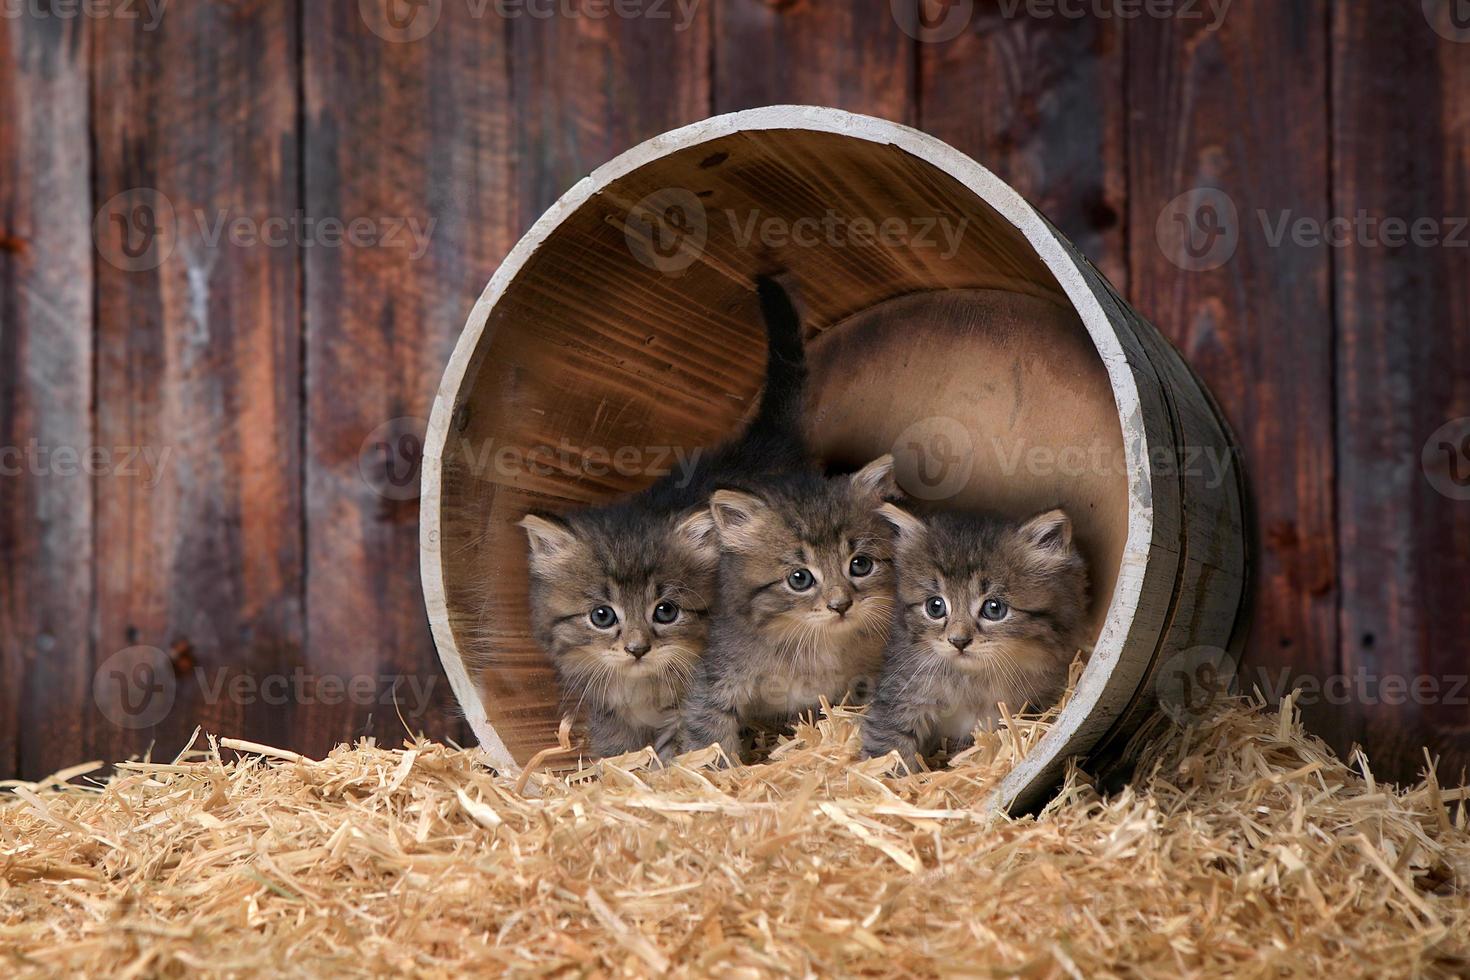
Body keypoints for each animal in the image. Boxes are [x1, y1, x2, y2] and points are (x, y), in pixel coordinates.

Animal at [520, 276, 817, 758]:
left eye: (666, 611)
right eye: (601, 616)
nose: (637, 648)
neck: (644, 684)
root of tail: (762, 441)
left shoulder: (698, 696)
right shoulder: (607, 710)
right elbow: (617, 751)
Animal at [679, 455, 905, 764]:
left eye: (861, 564)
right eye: (800, 578)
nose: (840, 605)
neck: (812, 642)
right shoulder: (714, 678)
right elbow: (709, 736)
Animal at [858, 502, 1087, 769]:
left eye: (994, 608)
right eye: (935, 606)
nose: (958, 641)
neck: (974, 680)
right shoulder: (900, 696)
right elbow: (888, 750)